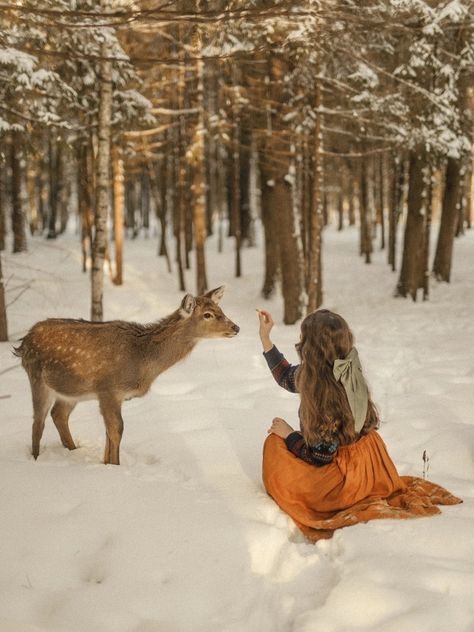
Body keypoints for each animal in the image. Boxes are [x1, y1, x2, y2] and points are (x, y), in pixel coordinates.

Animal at [13, 286, 239, 464]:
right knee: (38, 422)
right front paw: (115, 466)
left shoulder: (113, 395)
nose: (236, 327)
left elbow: (110, 432)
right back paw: (36, 458)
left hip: (70, 390)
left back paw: (73, 451)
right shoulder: (108, 389)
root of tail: (23, 343)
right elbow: (117, 430)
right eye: (207, 314)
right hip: (37, 376)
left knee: (58, 414)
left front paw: (106, 464)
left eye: (221, 309)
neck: (142, 360)